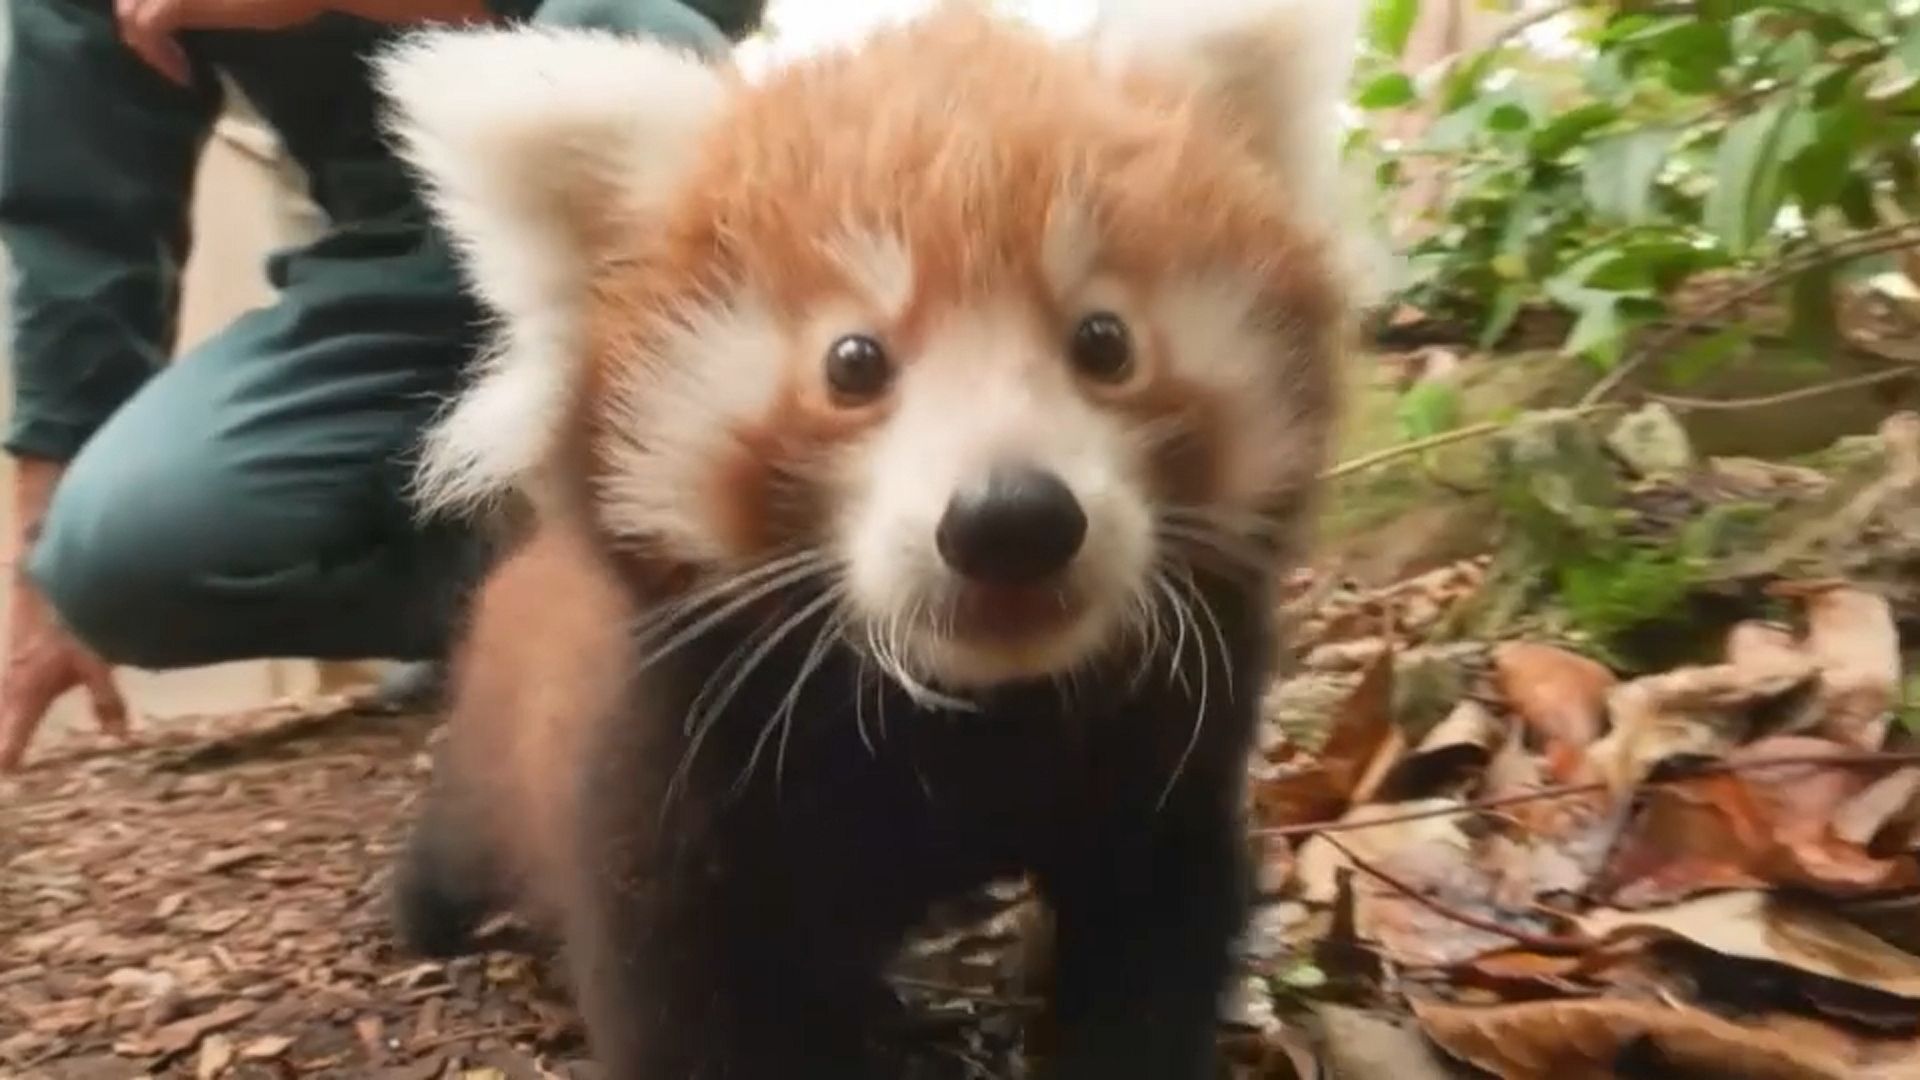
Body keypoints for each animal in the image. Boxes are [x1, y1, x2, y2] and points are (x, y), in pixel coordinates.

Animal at [374, 2, 1367, 1068]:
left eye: (1105, 342)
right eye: (853, 362)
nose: (1012, 519)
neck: (970, 726)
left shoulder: (1166, 752)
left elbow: (1155, 929)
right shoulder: (675, 760)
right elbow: (683, 990)